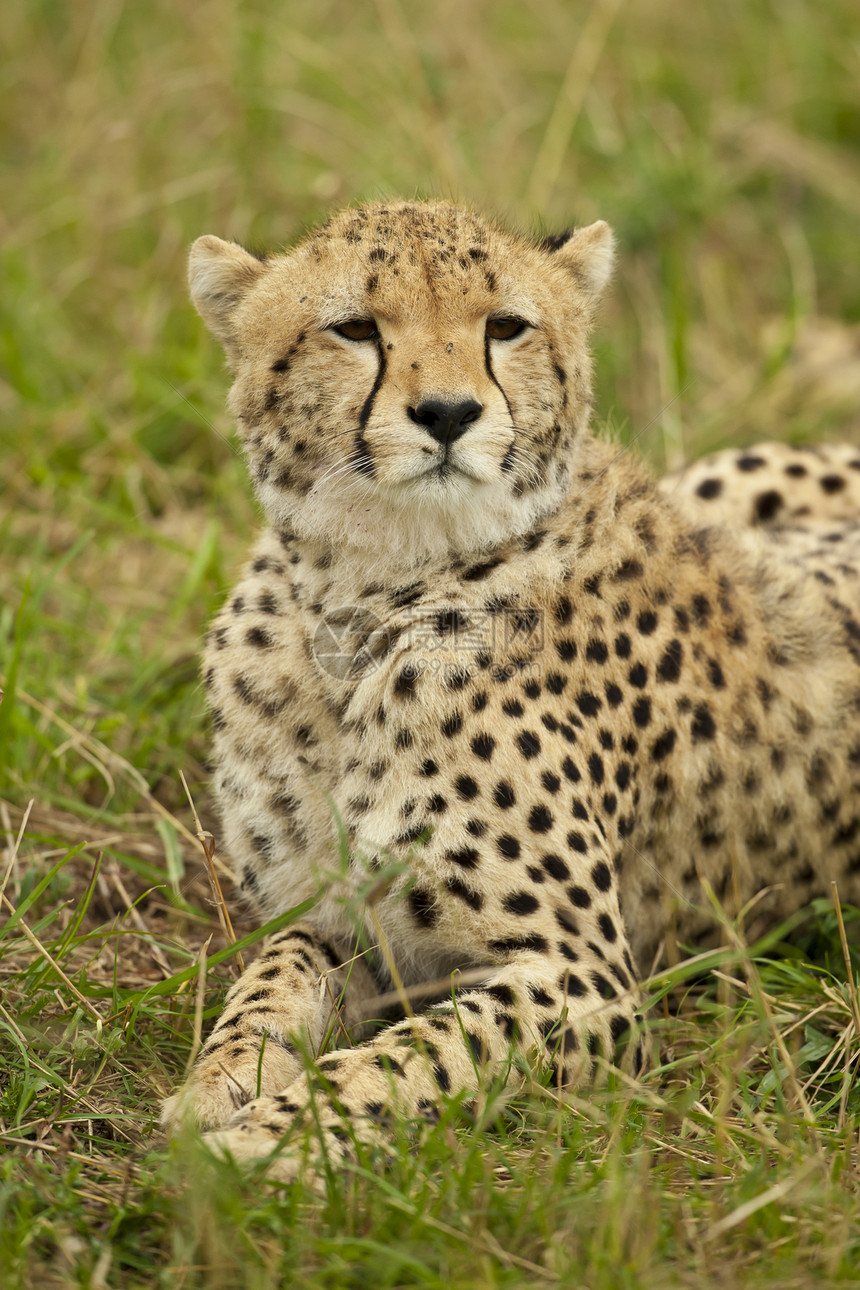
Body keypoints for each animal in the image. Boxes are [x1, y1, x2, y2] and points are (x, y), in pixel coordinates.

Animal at [165, 201, 860, 1181]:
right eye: (355, 329)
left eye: (505, 326)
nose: (449, 413)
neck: (358, 602)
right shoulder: (333, 917)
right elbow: (267, 988)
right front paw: (219, 1085)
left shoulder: (584, 982)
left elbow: (404, 1062)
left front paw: (270, 1141)